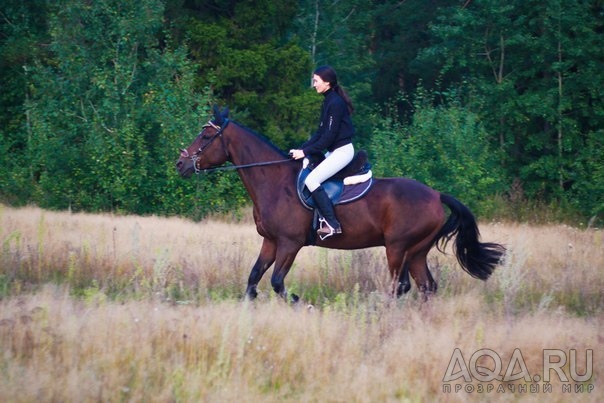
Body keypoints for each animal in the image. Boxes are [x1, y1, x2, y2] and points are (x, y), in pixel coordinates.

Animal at [175, 105, 504, 302]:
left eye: (205, 135)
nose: (180, 164)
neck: (274, 181)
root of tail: (436, 195)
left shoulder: (290, 243)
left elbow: (278, 282)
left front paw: (301, 303)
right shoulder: (271, 241)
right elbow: (253, 280)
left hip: (398, 249)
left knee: (401, 287)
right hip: (416, 252)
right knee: (426, 287)